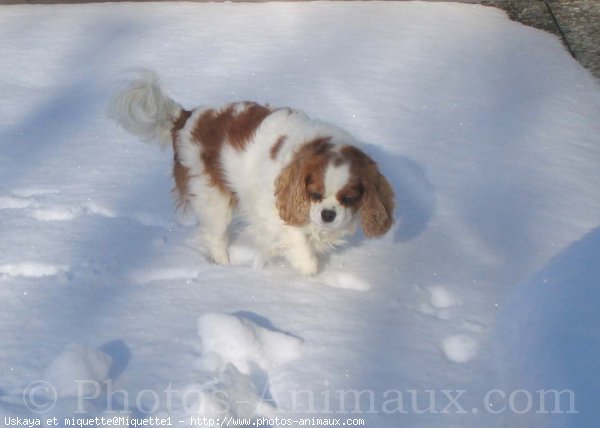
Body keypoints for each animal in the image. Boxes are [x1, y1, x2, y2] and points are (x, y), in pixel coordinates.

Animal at [110, 70, 396, 274]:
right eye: (314, 194)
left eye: (349, 198)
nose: (328, 215)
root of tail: (187, 117)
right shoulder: (271, 208)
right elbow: (296, 239)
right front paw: (308, 266)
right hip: (213, 197)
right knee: (216, 235)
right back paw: (224, 266)